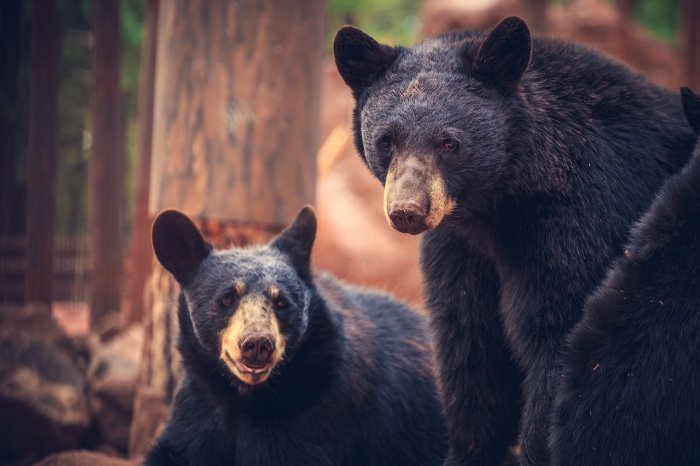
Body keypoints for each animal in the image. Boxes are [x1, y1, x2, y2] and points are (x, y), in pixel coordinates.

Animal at [144, 205, 447, 466]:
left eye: (282, 303)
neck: (242, 397)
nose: (257, 344)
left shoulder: (313, 409)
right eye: (227, 299)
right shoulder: (199, 405)